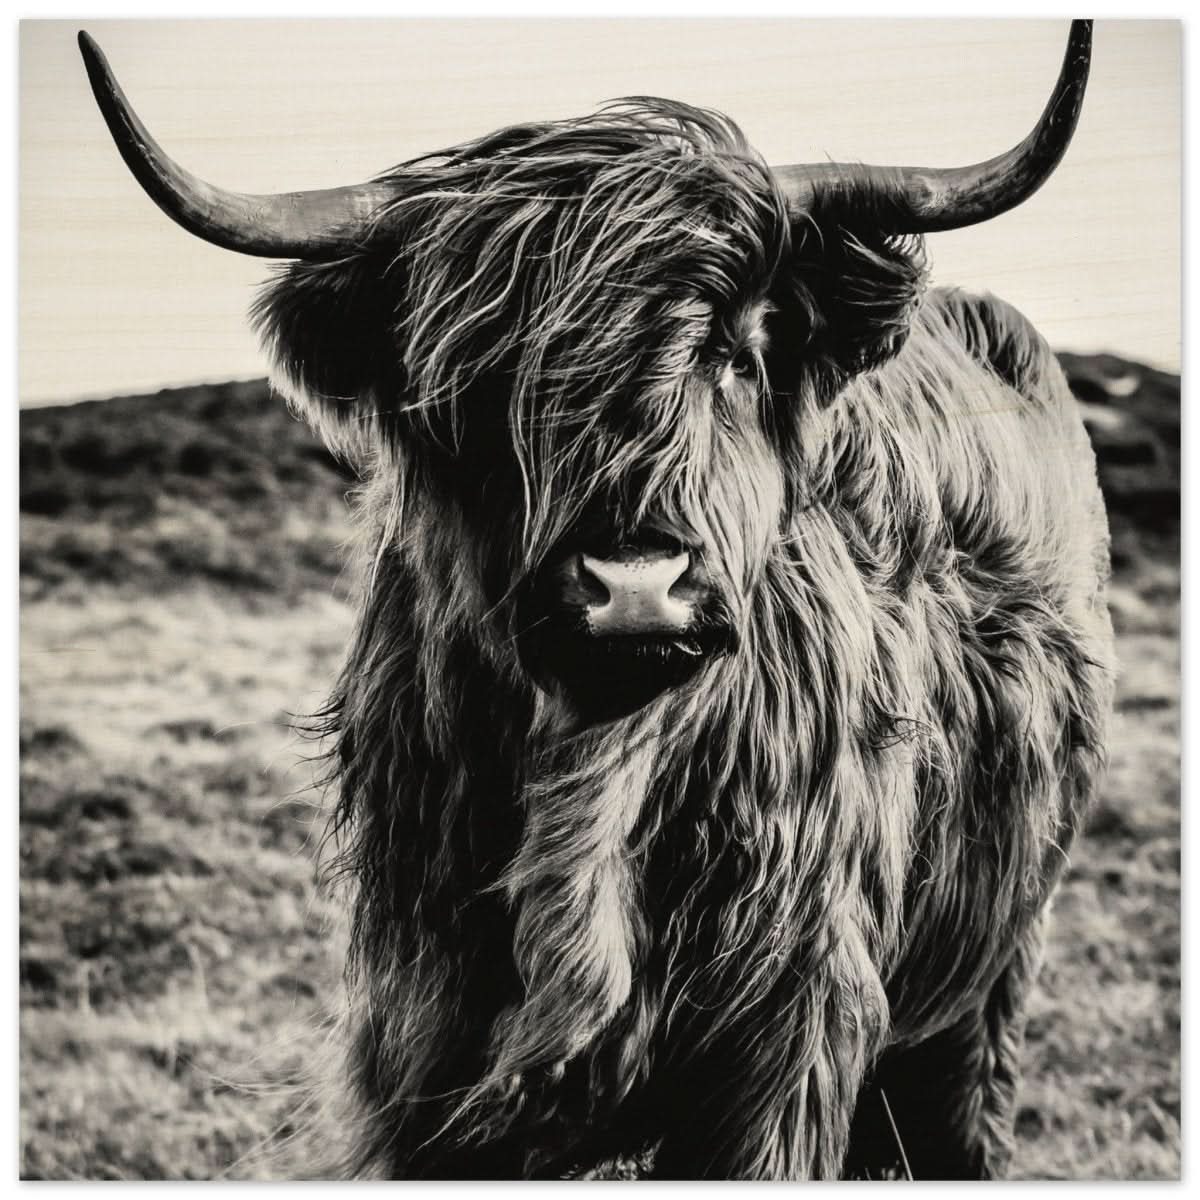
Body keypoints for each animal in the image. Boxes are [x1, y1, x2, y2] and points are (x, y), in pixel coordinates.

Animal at [79, 21, 1114, 1180]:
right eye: (480, 382)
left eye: (734, 354)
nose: (635, 587)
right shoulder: (425, 1040)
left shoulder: (784, 1043)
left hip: (992, 976)